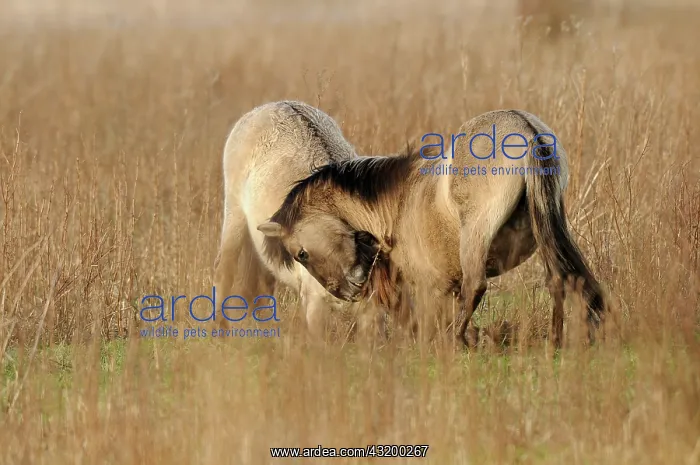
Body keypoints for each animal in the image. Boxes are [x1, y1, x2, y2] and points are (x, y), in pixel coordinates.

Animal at [213, 100, 406, 338]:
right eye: (301, 253)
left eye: (353, 235)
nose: (355, 283)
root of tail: (271, 106)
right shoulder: (315, 306)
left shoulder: (372, 314)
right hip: (234, 214)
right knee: (224, 270)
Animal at [257, 109, 608, 348]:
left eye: (301, 254)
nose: (345, 292)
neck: (396, 203)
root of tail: (524, 126)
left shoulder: (432, 287)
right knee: (562, 278)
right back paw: (557, 339)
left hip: (475, 237)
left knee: (477, 286)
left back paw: (455, 340)